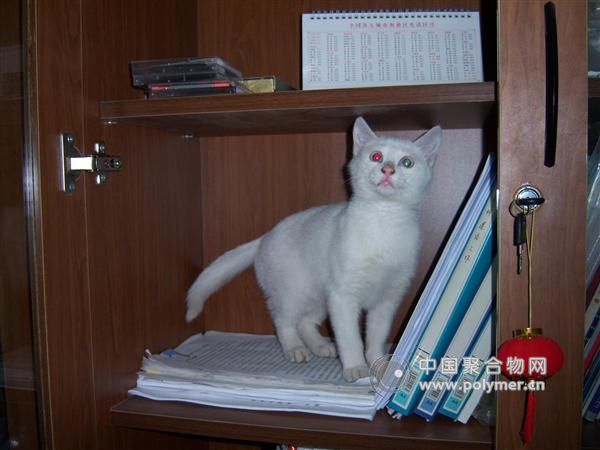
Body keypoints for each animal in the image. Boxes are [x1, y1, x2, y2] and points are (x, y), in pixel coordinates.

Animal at [186, 117, 441, 382]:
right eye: (376, 156)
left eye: (407, 162)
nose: (388, 169)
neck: (383, 221)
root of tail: (265, 237)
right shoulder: (342, 296)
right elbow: (350, 338)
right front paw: (356, 368)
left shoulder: (387, 300)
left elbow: (376, 338)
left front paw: (379, 366)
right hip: (293, 292)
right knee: (283, 320)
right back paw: (295, 348)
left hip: (319, 296)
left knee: (305, 322)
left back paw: (320, 346)